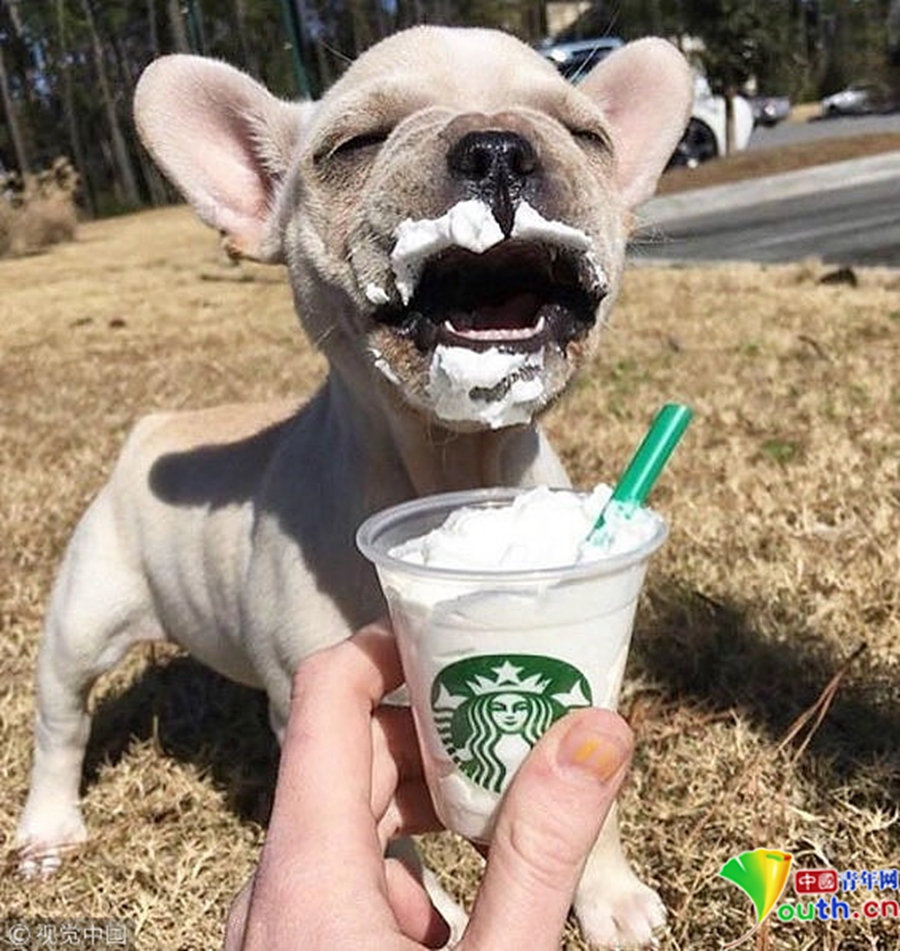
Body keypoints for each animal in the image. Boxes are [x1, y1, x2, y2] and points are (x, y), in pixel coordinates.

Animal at [15, 26, 691, 948]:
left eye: (588, 136)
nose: (497, 147)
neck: (453, 461)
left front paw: (609, 892)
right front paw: (437, 910)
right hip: (82, 618)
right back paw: (47, 828)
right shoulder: (315, 707)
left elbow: (597, 783)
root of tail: (154, 425)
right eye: (355, 145)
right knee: (61, 719)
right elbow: (392, 839)